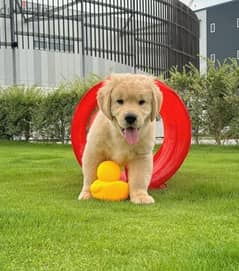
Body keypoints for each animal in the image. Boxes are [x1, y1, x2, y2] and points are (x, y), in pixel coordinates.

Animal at [78, 73, 162, 205]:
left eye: (142, 102)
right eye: (120, 101)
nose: (130, 117)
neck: (120, 137)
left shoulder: (141, 156)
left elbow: (139, 178)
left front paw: (140, 196)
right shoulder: (94, 151)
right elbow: (90, 175)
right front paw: (87, 193)